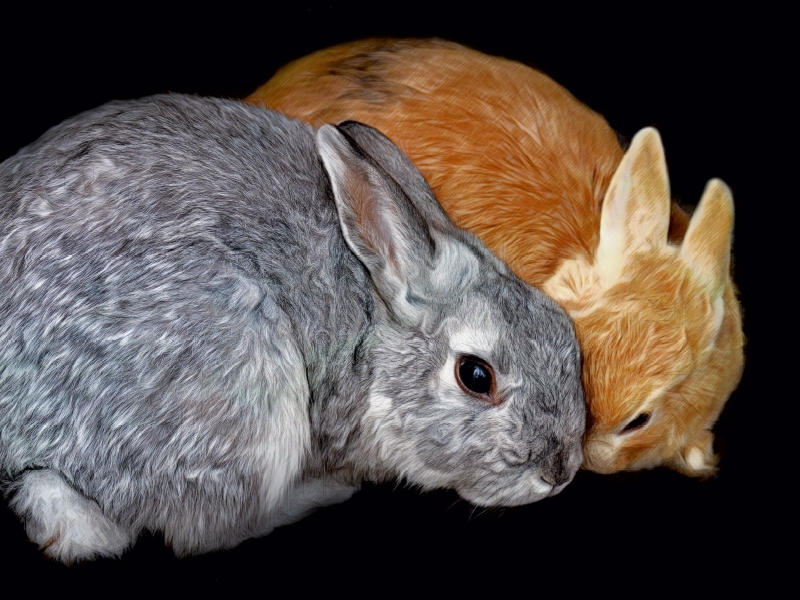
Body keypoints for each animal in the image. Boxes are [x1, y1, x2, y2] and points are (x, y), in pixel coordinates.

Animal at [1, 94, 588, 564]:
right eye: (475, 376)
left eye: (567, 337)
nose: (561, 470)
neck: (372, 327)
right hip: (241, 382)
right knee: (206, 530)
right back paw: (321, 492)